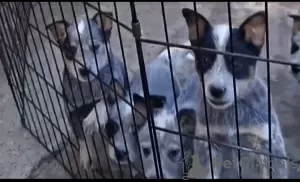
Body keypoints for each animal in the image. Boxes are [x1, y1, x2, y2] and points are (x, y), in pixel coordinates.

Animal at [46, 10, 131, 173]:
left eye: (95, 46)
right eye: (70, 50)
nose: (84, 70)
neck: (88, 87)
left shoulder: (116, 84)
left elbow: (105, 96)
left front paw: (93, 119)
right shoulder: (72, 112)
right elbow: (81, 137)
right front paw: (87, 157)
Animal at [180, 7, 288, 178]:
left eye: (236, 63)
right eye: (205, 60)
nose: (216, 90)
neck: (230, 113)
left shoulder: (267, 142)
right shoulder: (207, 141)